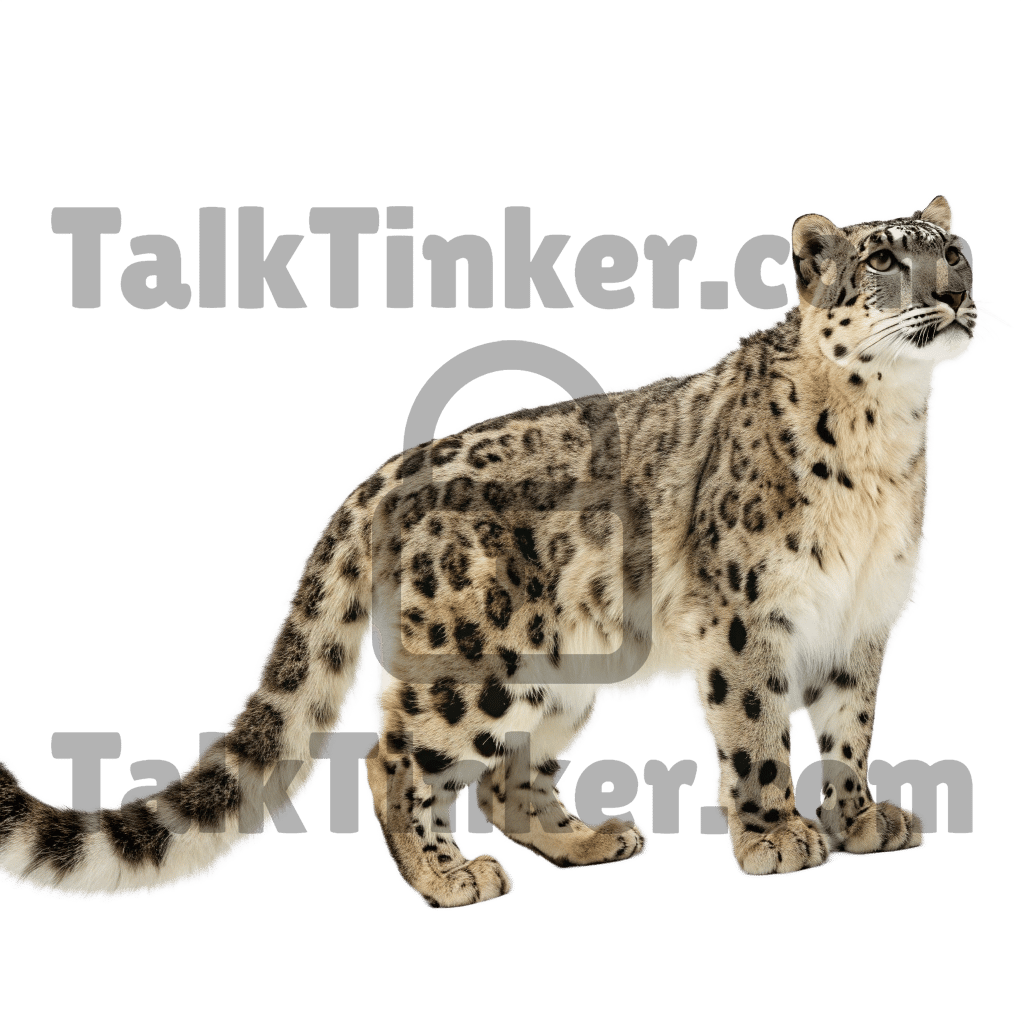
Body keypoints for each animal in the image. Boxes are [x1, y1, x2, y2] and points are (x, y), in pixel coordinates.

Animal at [0, 195, 1006, 907]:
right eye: (883, 259)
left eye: (954, 250)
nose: (954, 290)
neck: (889, 447)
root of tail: (387, 472)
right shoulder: (748, 616)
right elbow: (756, 728)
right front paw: (776, 836)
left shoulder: (864, 626)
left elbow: (850, 730)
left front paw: (861, 820)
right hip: (475, 667)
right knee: (394, 758)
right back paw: (451, 877)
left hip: (563, 679)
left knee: (506, 781)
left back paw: (592, 839)